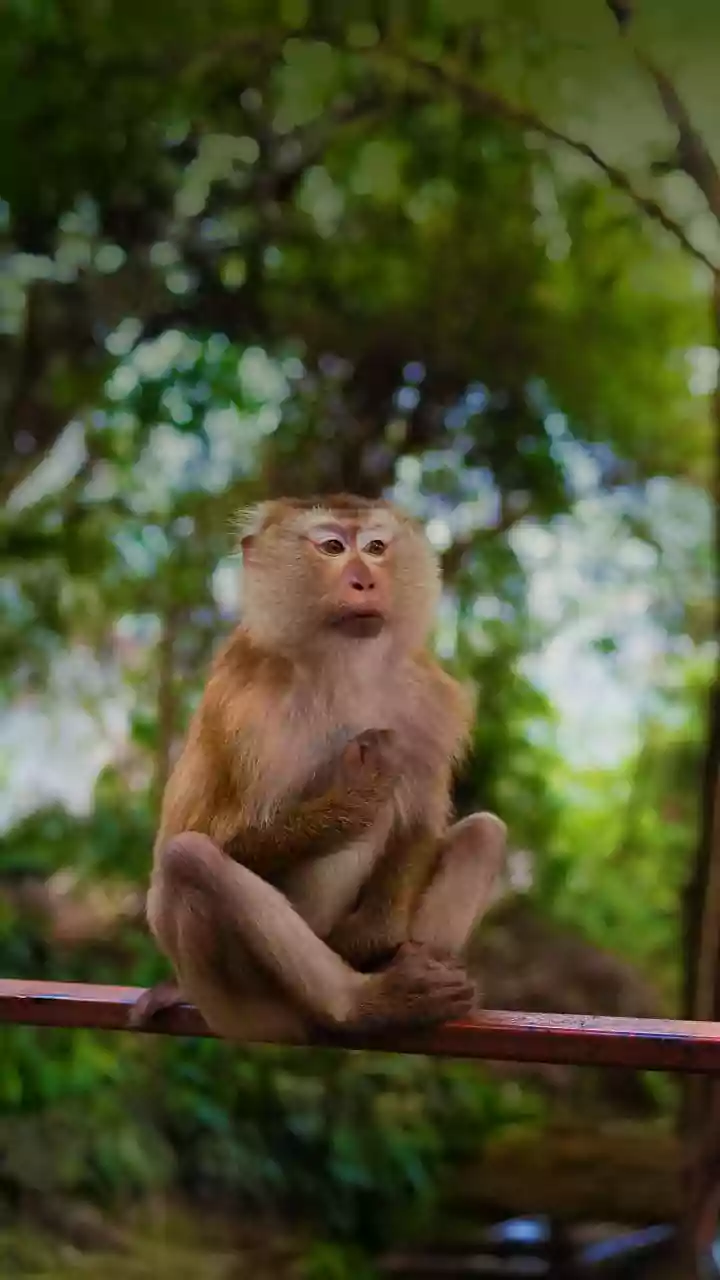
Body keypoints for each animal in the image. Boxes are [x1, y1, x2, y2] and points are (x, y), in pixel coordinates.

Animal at [131, 494, 506, 1043]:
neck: (342, 664)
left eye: (375, 547)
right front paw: (353, 796)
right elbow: (219, 838)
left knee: (484, 833)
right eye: (331, 547)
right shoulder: (247, 711)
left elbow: (420, 820)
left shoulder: (428, 697)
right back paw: (363, 1005)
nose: (364, 581)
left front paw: (375, 933)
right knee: (189, 859)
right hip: (247, 1009)